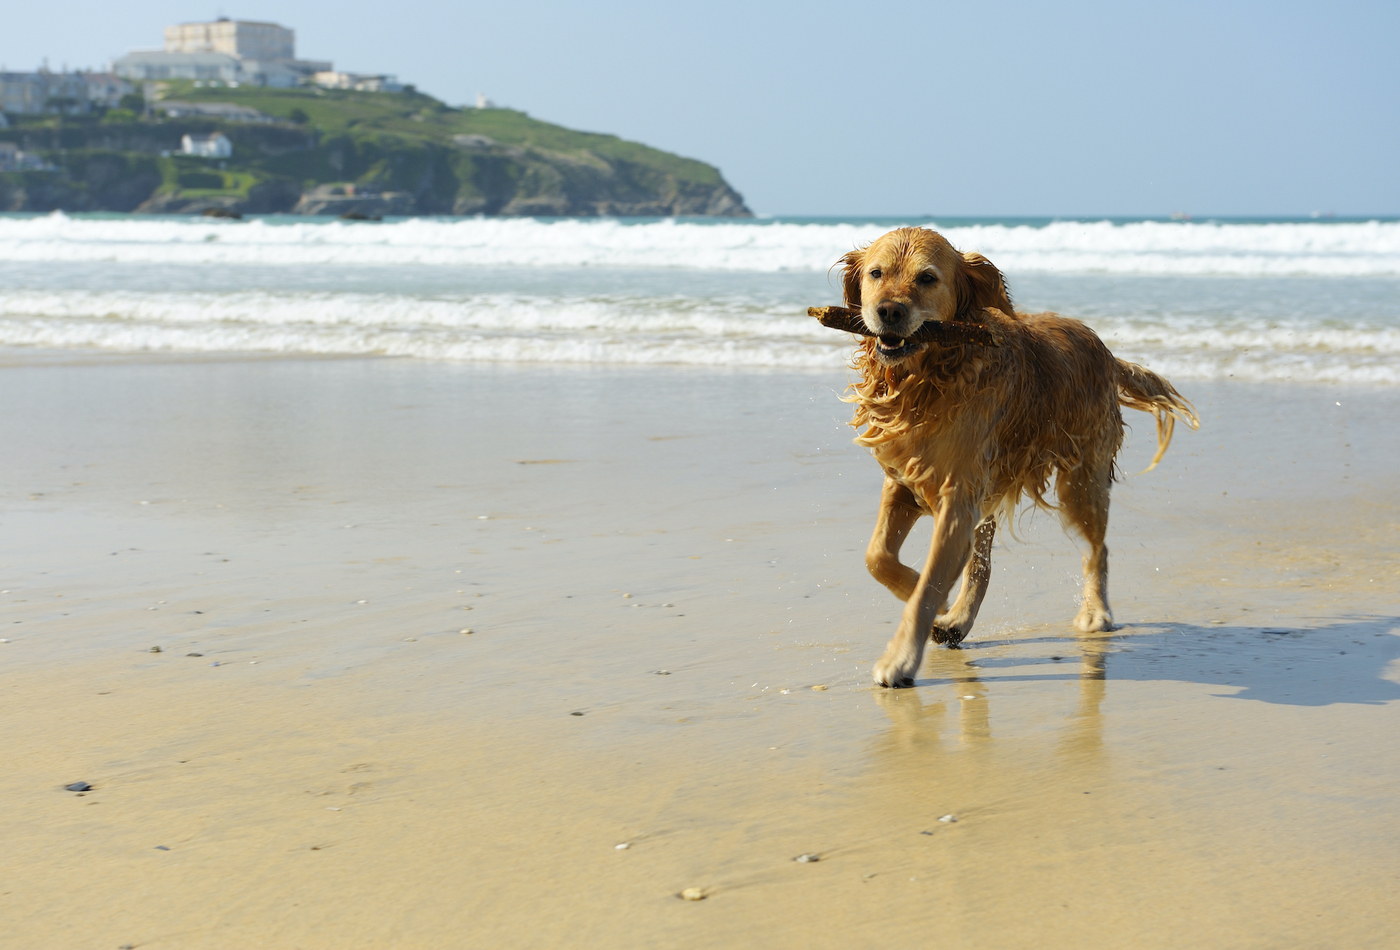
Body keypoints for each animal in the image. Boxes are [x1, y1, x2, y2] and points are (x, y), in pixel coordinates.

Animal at [834, 230, 1198, 691]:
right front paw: (936, 608)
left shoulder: (957, 495)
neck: (929, 377)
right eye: (876, 274)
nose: (889, 312)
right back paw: (956, 620)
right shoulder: (904, 481)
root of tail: (1104, 349)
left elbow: (929, 583)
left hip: (1079, 482)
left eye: (927, 278)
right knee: (982, 565)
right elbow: (877, 557)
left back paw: (1096, 612)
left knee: (1097, 549)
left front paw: (901, 657)